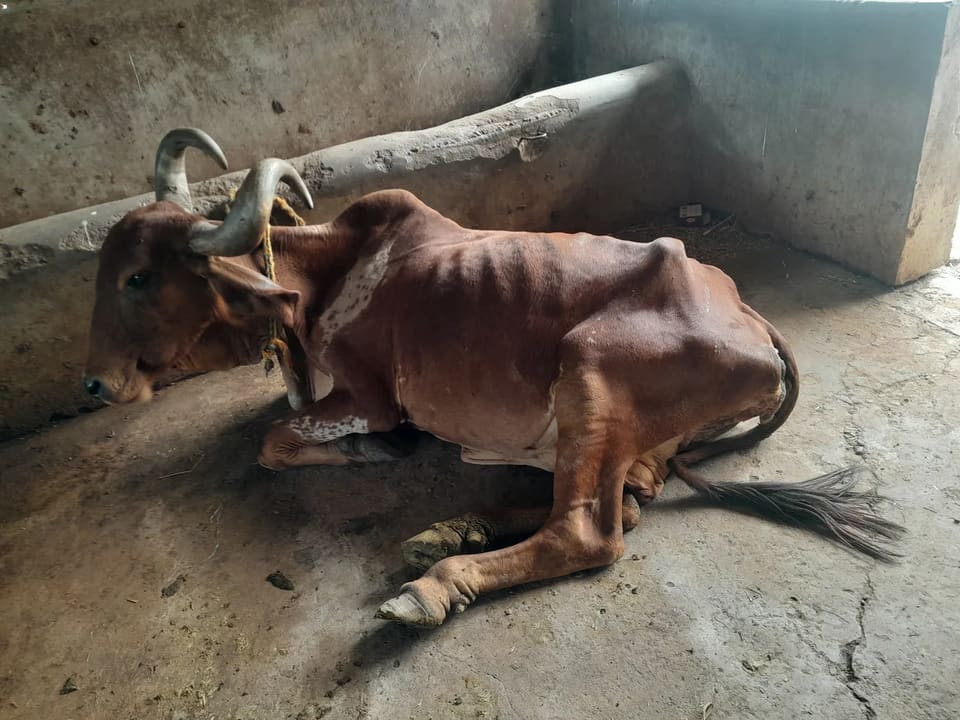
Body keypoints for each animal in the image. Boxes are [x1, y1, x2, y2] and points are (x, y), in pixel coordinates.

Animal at [84, 129, 902, 626]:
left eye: (138, 277)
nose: (96, 384)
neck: (320, 280)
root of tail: (751, 321)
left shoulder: (369, 397)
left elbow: (274, 440)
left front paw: (372, 452)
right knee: (622, 506)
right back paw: (454, 528)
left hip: (590, 374)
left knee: (587, 533)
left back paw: (434, 585)